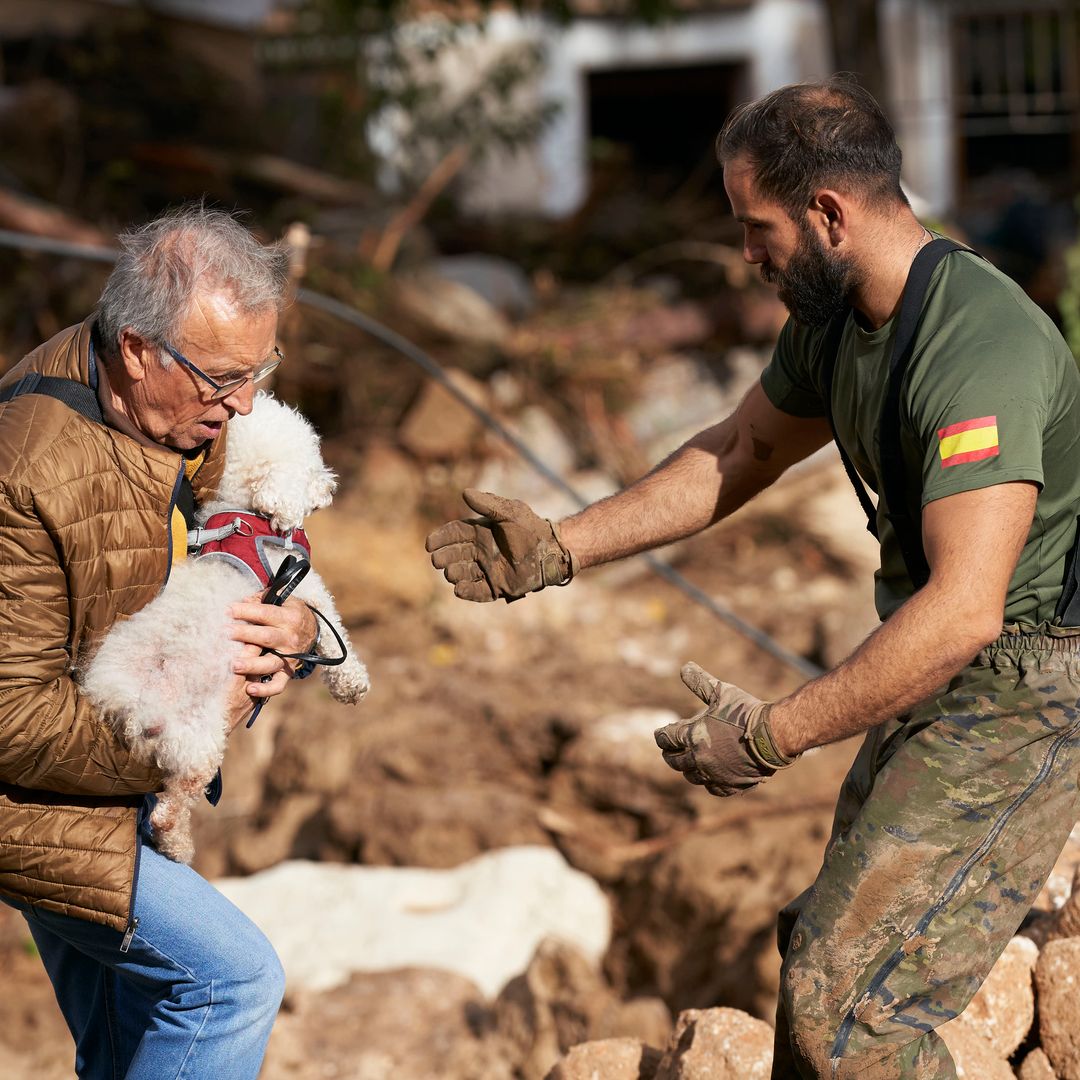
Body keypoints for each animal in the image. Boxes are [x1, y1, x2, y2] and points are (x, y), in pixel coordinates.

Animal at [78, 393, 367, 864]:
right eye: (312, 459)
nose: (329, 487)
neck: (246, 515)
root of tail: (126, 699)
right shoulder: (302, 589)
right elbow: (331, 629)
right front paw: (352, 682)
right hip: (202, 736)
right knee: (172, 805)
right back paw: (178, 845)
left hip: (183, 736)